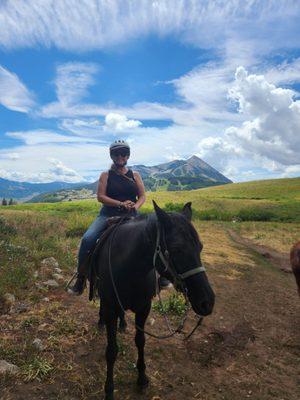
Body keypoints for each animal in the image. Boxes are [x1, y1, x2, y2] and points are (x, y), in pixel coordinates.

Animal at [95, 203, 214, 400]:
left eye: (201, 247)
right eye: (177, 249)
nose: (208, 302)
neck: (129, 267)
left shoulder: (144, 307)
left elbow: (140, 340)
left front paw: (142, 378)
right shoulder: (111, 308)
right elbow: (111, 351)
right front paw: (109, 390)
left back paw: (123, 323)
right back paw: (100, 321)